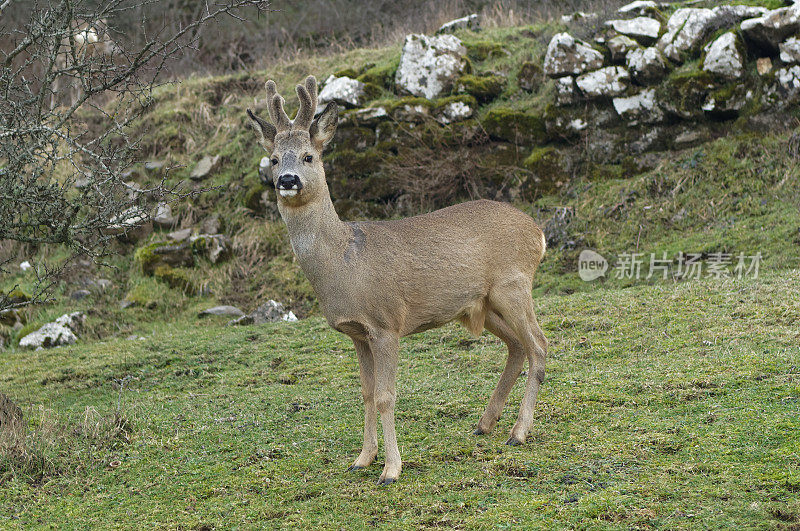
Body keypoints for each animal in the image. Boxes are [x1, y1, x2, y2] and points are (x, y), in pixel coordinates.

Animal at [247, 75, 552, 486]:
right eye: (274, 159)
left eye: (309, 156)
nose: (287, 179)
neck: (345, 263)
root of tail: (537, 232)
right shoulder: (357, 332)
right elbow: (365, 393)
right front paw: (362, 459)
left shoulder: (386, 322)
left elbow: (385, 395)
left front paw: (391, 469)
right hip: (480, 303)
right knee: (517, 346)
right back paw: (485, 424)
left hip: (514, 284)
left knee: (539, 344)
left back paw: (518, 432)